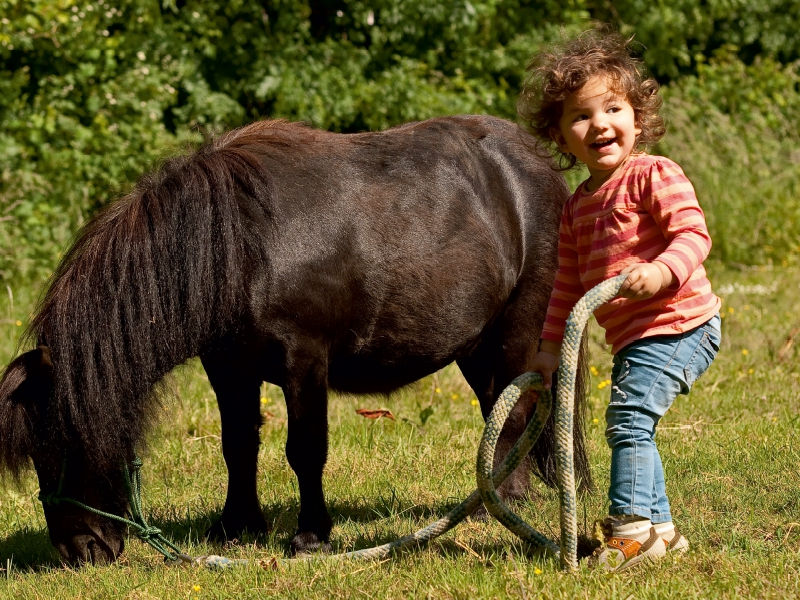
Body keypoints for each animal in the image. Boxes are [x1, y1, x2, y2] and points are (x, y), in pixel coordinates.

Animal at [0, 115, 588, 564]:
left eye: (64, 445)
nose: (81, 552)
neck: (241, 248)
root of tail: (539, 169)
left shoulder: (304, 363)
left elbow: (305, 448)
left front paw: (309, 536)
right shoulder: (227, 367)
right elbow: (238, 444)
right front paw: (236, 527)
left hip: (516, 331)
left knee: (516, 408)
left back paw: (500, 501)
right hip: (477, 346)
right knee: (503, 407)